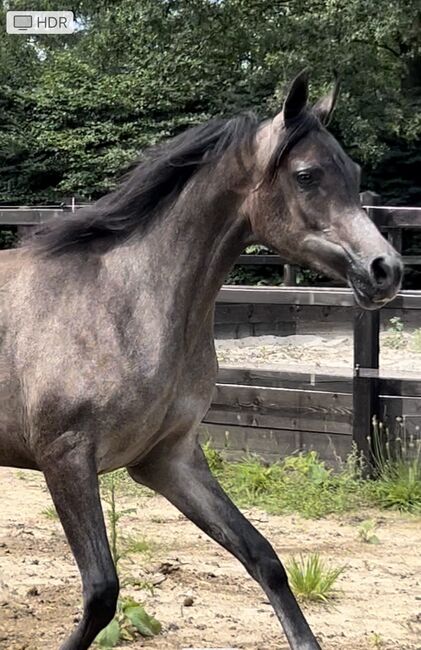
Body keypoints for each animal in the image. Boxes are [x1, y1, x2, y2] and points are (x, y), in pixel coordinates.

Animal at [0, 68, 400, 644]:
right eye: (306, 176)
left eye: (354, 172)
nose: (386, 270)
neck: (123, 301)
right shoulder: (66, 457)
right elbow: (101, 591)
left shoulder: (169, 460)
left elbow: (263, 557)